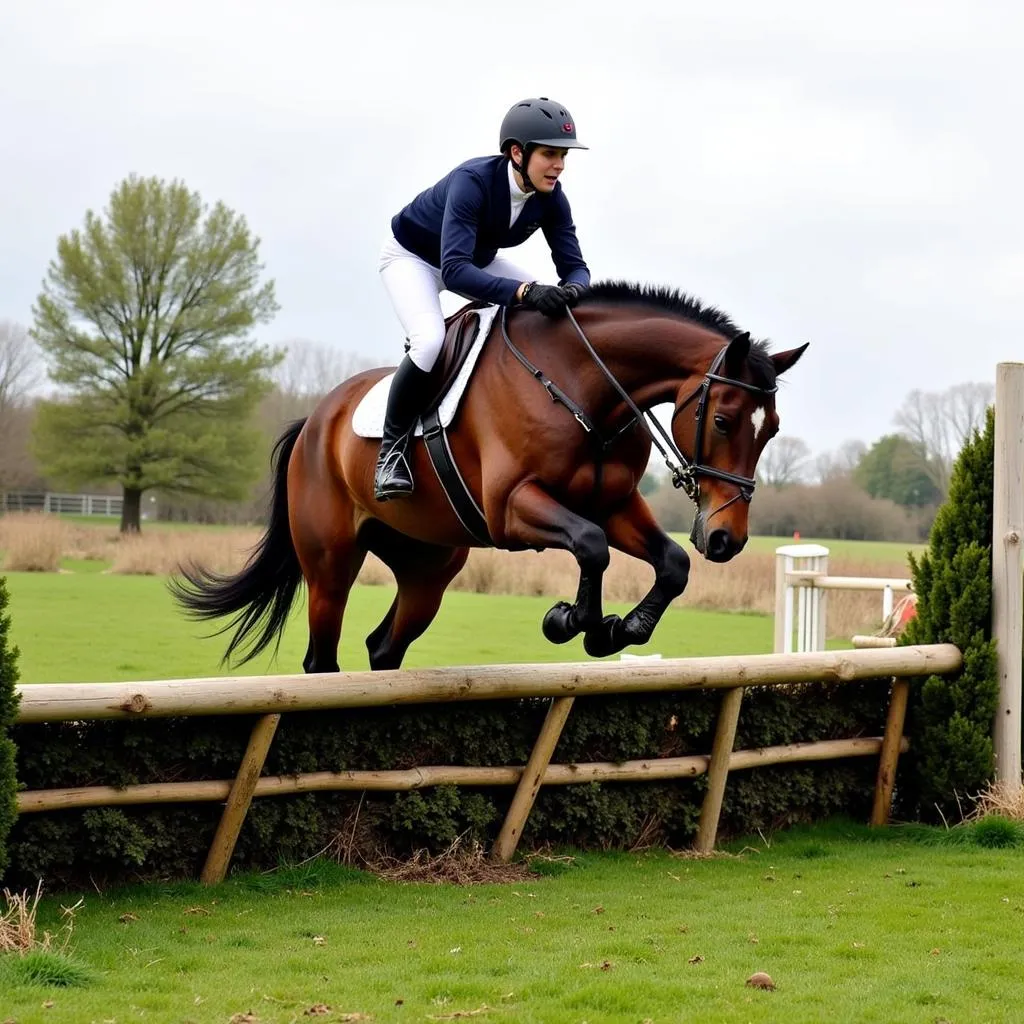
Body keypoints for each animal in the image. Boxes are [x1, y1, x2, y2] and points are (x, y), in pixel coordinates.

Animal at [169, 284, 806, 675]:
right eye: (721, 420)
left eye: (772, 429)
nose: (726, 539)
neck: (583, 388)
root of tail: (315, 422)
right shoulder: (513, 509)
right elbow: (591, 546)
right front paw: (573, 622)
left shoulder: (615, 503)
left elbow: (669, 563)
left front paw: (619, 630)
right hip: (330, 565)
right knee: (321, 659)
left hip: (428, 568)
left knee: (384, 646)